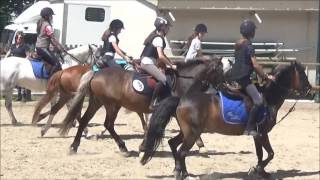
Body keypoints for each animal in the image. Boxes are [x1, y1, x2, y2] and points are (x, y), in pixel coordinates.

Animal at [59, 57, 225, 155]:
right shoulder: (172, 110)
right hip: (112, 105)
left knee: (86, 121)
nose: (223, 88)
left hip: (97, 102)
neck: (182, 81)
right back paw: (123, 148)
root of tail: (96, 73)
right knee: (108, 124)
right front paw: (201, 145)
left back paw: (74, 146)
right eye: (220, 71)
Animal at [141, 61, 314, 179]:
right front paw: (259, 169)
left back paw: (181, 171)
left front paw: (260, 171)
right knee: (182, 152)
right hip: (192, 133)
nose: (310, 91)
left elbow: (260, 154)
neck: (268, 99)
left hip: (187, 132)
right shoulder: (263, 133)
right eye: (303, 75)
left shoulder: (257, 135)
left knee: (173, 145)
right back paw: (182, 173)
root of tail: (181, 99)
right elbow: (270, 154)